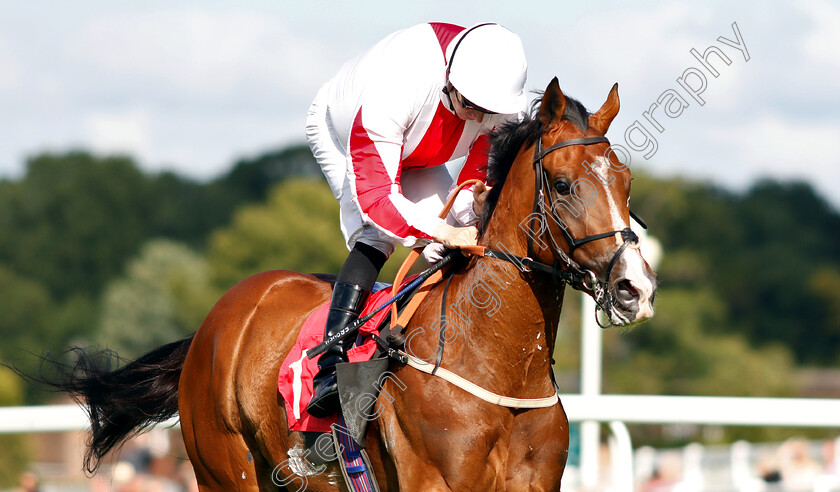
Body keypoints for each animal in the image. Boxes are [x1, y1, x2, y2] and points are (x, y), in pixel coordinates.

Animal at [52, 79, 660, 490]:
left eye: (627, 180)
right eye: (561, 184)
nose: (634, 287)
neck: (500, 366)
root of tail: (215, 322)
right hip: (224, 472)